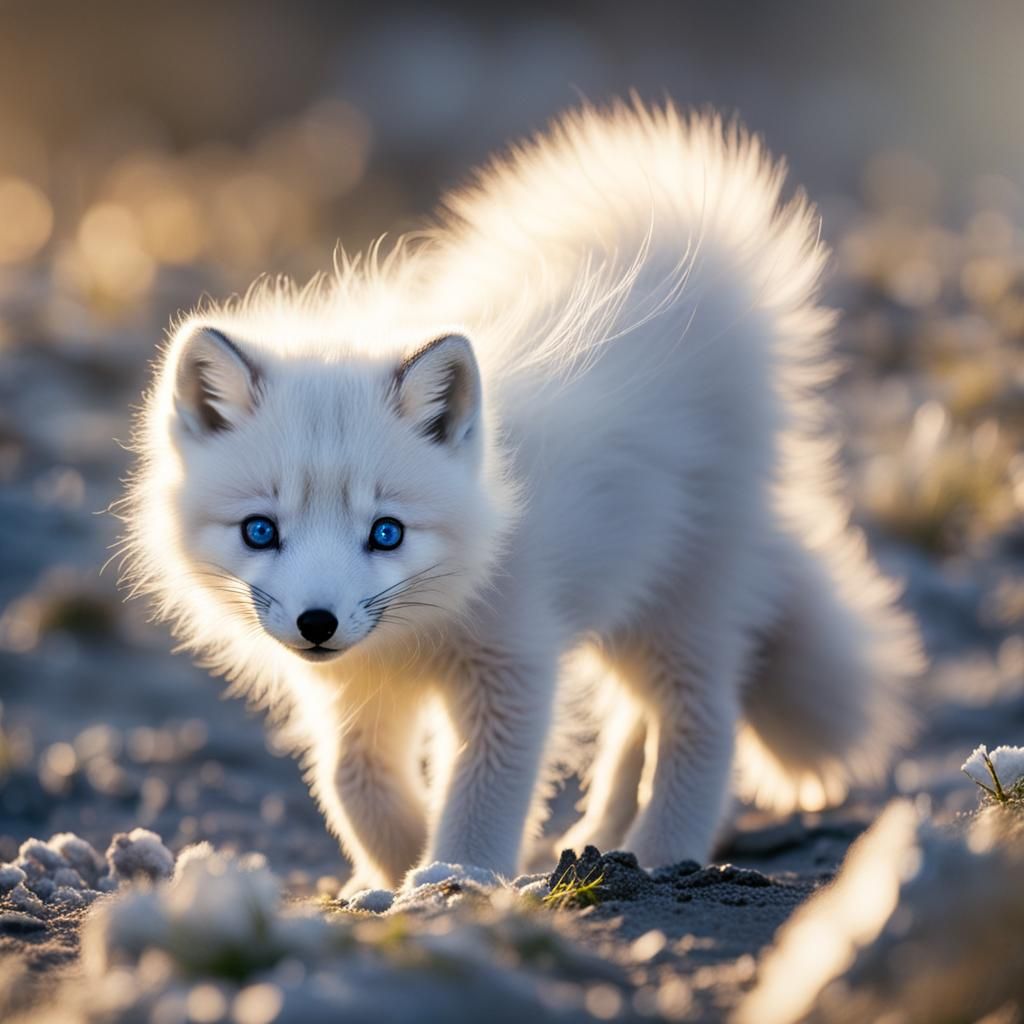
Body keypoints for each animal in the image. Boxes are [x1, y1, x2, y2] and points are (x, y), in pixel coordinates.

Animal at [120, 101, 923, 892]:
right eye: (260, 530)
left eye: (387, 532)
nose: (318, 623)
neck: (421, 632)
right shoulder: (357, 688)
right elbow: (355, 783)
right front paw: (391, 868)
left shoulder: (515, 660)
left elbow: (485, 788)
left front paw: (453, 873)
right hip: (628, 607)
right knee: (635, 722)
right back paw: (604, 838)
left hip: (681, 603)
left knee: (700, 720)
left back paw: (663, 855)